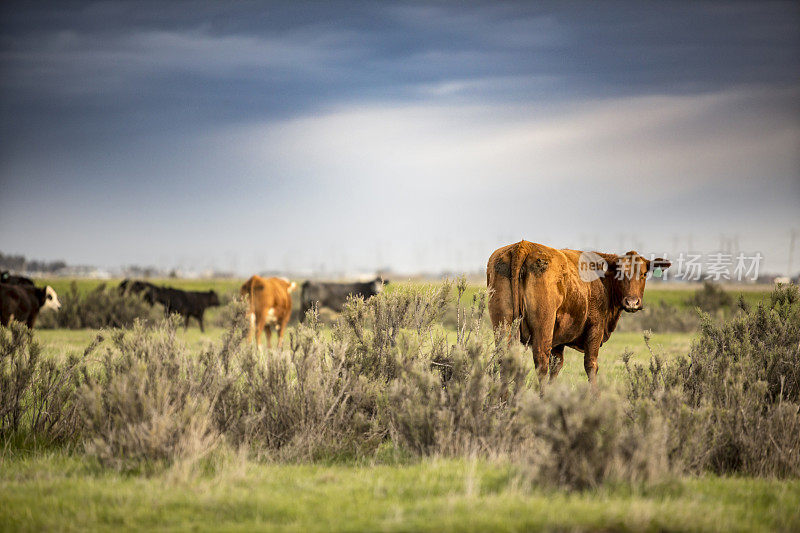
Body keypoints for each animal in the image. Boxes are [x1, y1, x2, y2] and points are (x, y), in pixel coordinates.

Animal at [488, 239, 668, 384]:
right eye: (620, 273)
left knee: (505, 359)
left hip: (503, 325)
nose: (632, 302)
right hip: (543, 327)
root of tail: (523, 246)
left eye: (644, 274)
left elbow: (556, 367)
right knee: (541, 362)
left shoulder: (558, 342)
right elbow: (591, 365)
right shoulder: (595, 329)